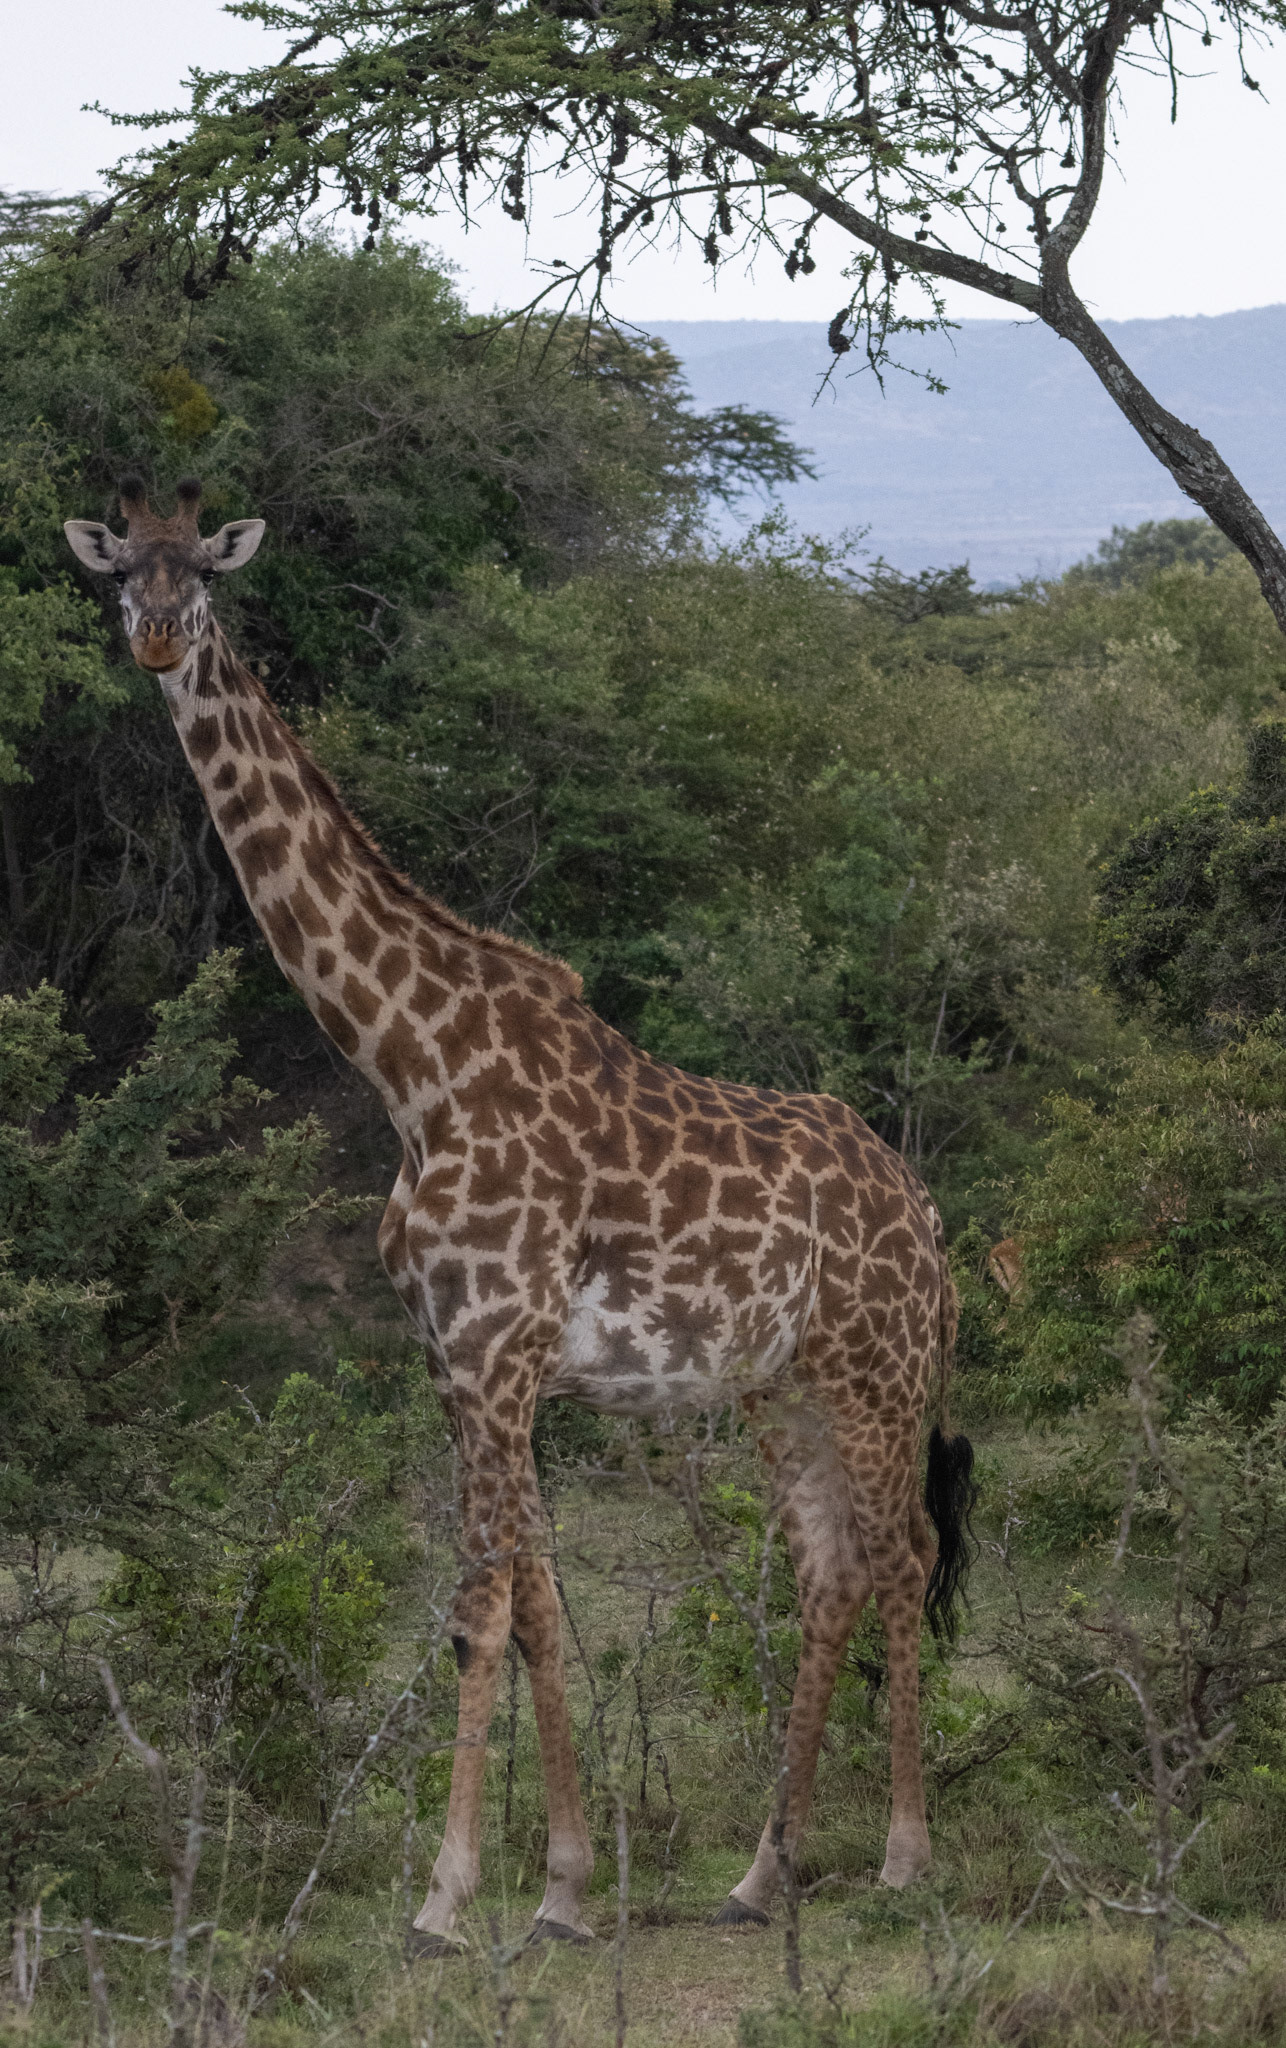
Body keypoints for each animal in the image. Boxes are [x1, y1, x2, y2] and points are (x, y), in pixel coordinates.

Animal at [65, 477, 976, 1952]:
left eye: (200, 572)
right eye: (116, 572)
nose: (153, 638)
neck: (412, 1067)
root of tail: (931, 1215)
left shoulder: (496, 1352)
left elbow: (478, 1610)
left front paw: (443, 1900)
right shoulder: (460, 1360)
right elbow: (542, 1604)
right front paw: (557, 1889)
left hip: (876, 1371)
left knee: (904, 1553)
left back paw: (901, 1857)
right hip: (779, 1385)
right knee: (832, 1567)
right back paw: (757, 1873)